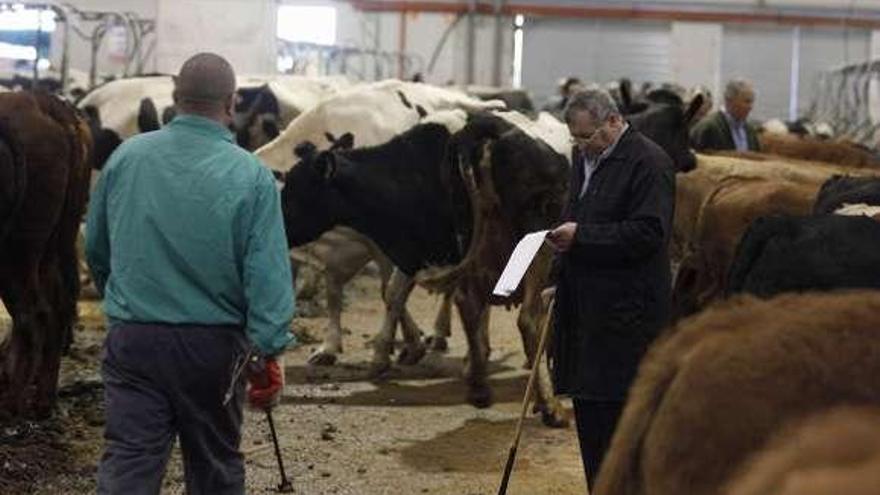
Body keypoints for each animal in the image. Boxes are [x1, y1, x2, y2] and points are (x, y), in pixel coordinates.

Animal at [0, 90, 92, 418]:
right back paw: (42, 399)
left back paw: (12, 403)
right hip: (53, 245)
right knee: (58, 305)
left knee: (32, 314)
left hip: (18, 252)